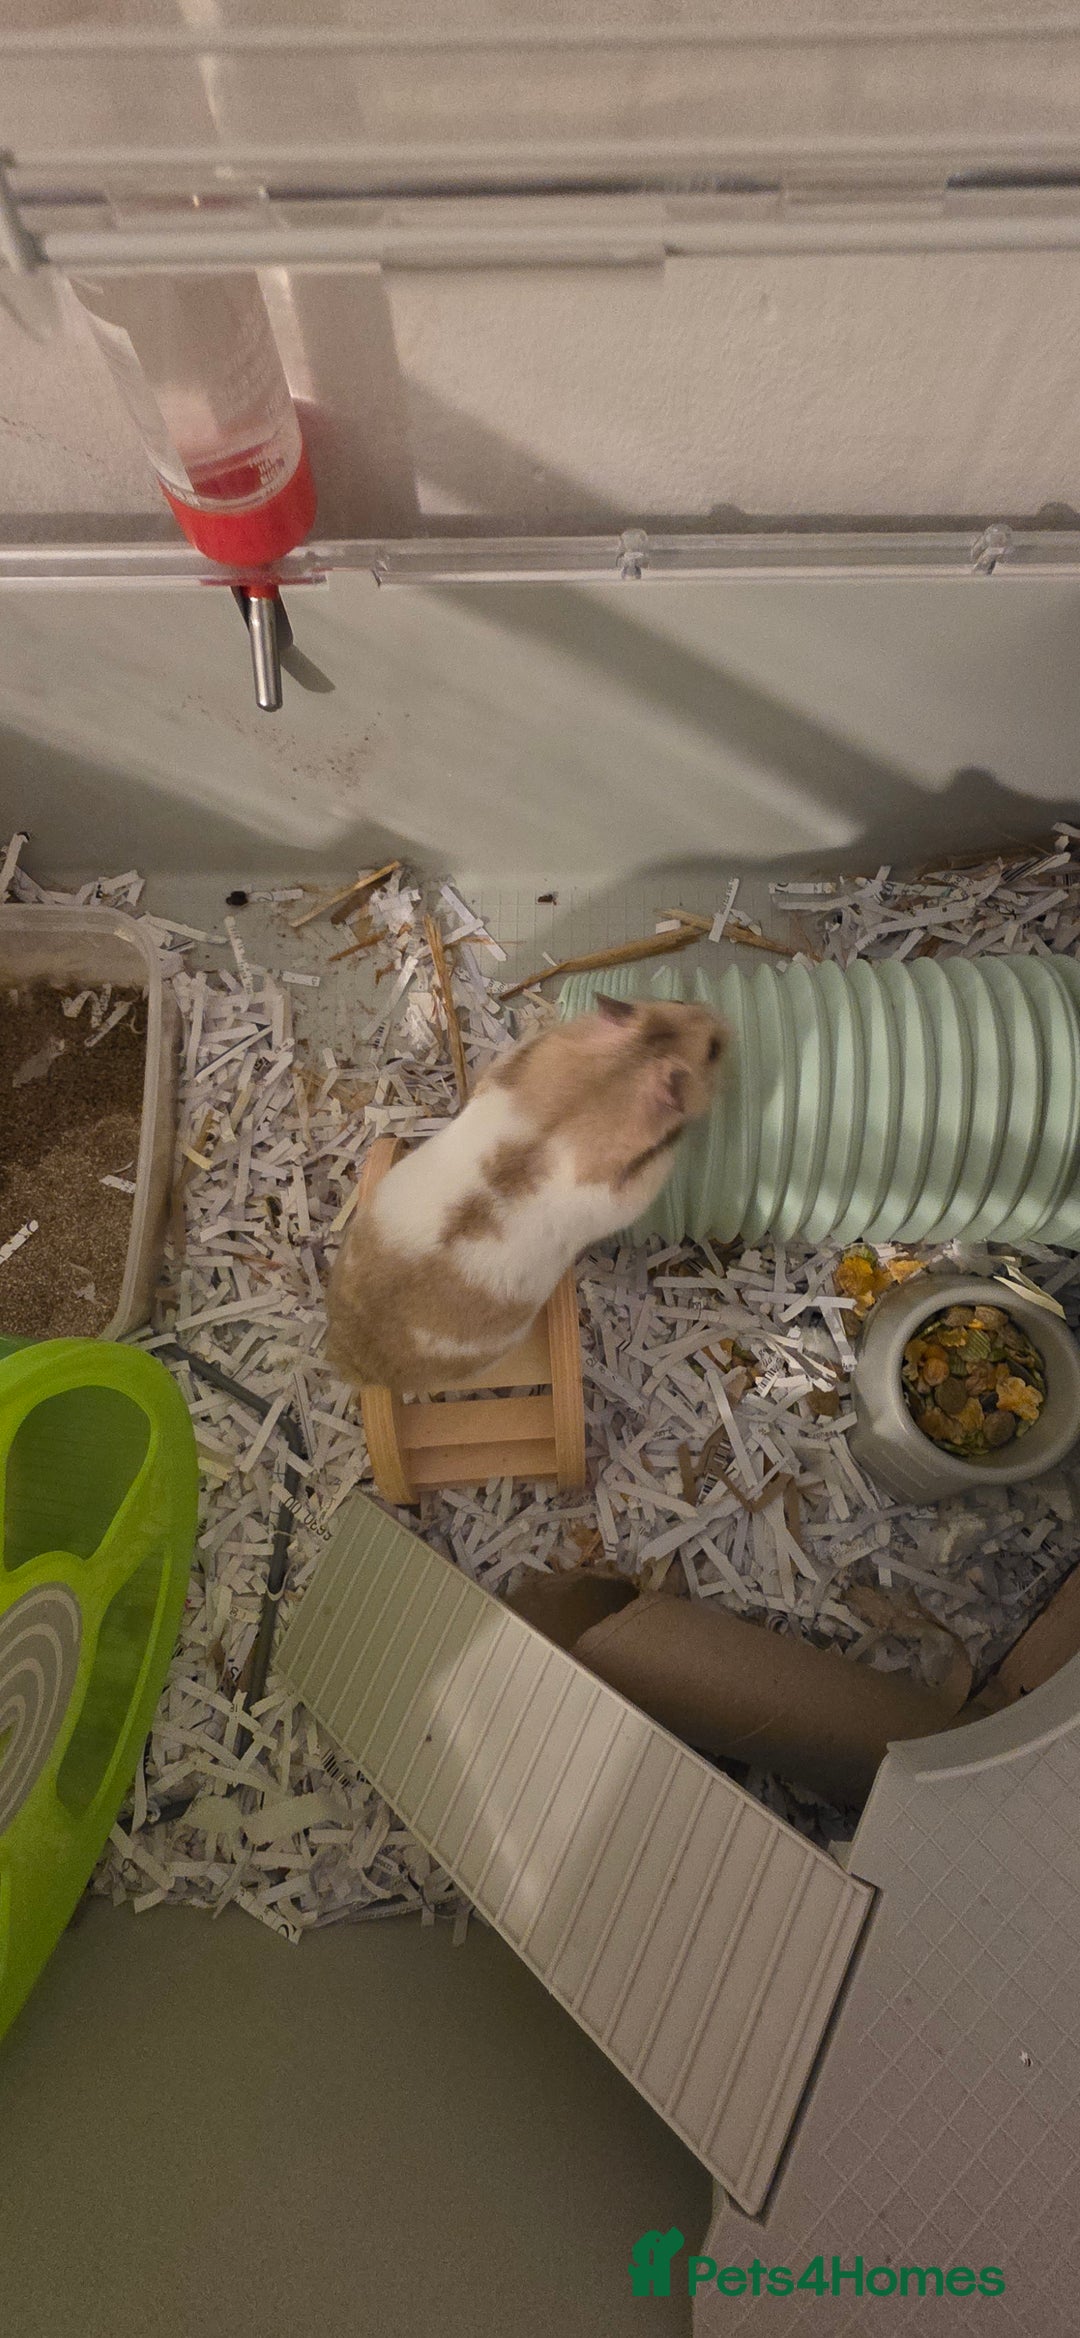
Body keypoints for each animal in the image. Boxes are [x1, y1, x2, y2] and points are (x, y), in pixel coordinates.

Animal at [326, 994, 725, 1395]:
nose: (721, 1019)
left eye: (676, 999)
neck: (622, 1068)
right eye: (713, 1051)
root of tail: (352, 1366)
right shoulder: (627, 1194)